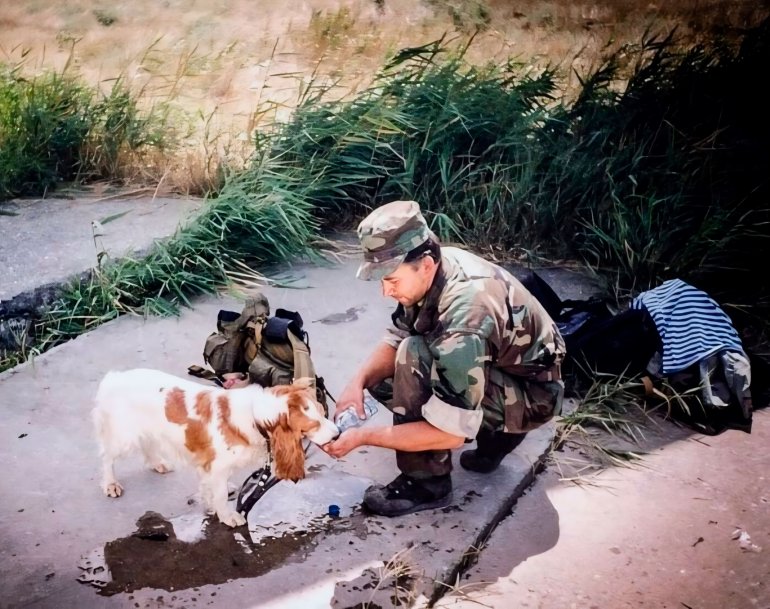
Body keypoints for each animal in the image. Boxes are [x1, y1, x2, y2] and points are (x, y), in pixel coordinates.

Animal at [93, 366, 340, 528]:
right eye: (314, 424)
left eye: (322, 412)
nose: (338, 433)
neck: (254, 416)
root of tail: (113, 378)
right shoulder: (218, 465)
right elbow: (220, 494)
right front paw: (227, 516)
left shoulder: (208, 463)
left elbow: (209, 486)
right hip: (123, 438)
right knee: (106, 457)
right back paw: (111, 484)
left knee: (147, 444)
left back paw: (157, 463)